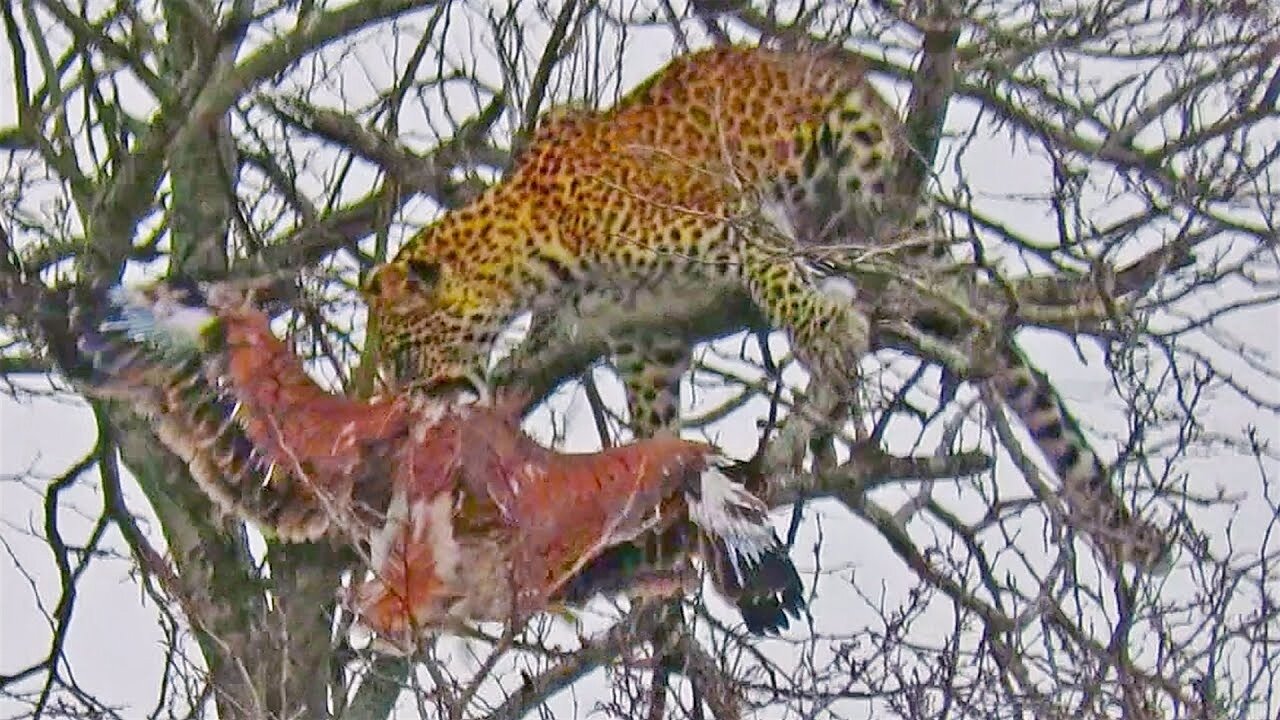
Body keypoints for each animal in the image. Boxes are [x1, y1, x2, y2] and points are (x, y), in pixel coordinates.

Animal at [360, 44, 1172, 571]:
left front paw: (825, 328)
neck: (534, 246)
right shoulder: (645, 343)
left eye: (402, 349)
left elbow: (768, 270)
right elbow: (654, 424)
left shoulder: (726, 218)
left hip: (864, 159)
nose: (405, 396)